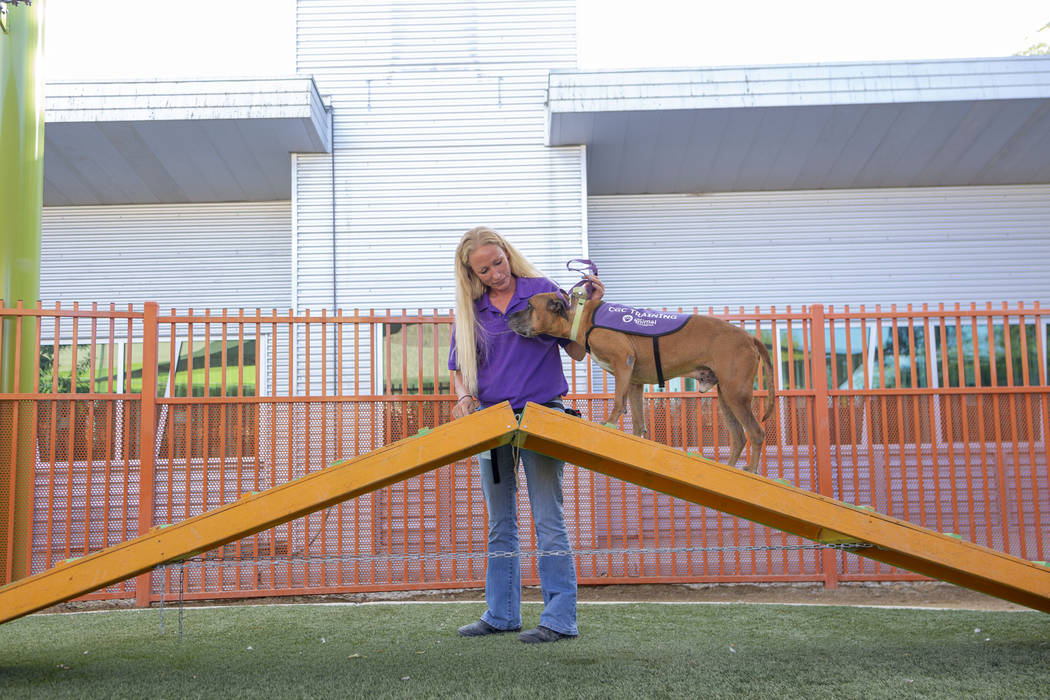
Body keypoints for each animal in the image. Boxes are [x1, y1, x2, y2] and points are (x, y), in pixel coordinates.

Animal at [508, 293, 772, 474]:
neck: (582, 317)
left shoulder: (622, 361)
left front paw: (609, 423)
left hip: (735, 395)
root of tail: (749, 337)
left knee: (756, 432)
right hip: (726, 397)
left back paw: (750, 470)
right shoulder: (634, 382)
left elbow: (617, 401)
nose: (508, 315)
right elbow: (637, 420)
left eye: (530, 305)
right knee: (739, 436)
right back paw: (731, 469)